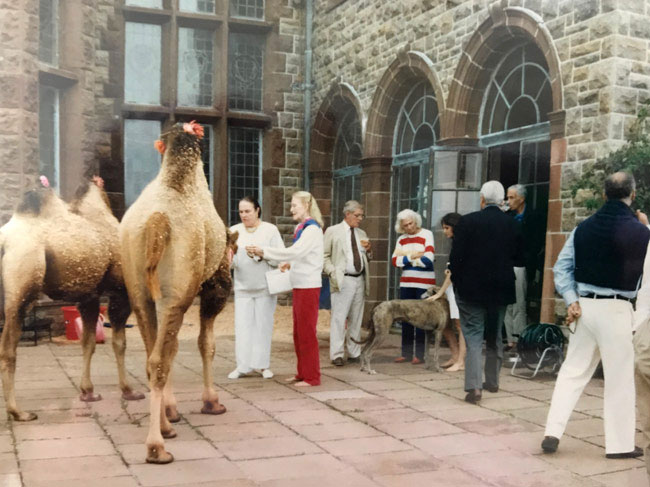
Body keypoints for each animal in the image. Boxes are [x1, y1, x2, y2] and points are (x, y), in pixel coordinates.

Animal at [0, 177, 143, 422]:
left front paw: (88, 392)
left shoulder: (88, 297)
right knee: (8, 348)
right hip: (20, 289)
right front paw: (129, 390)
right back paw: (18, 412)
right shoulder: (120, 291)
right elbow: (119, 343)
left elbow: (88, 342)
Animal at [121, 122, 233, 466]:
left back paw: (166, 428)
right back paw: (157, 448)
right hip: (177, 293)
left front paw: (171, 411)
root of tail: (156, 222)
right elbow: (206, 344)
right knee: (160, 359)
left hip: (139, 293)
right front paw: (212, 402)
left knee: (153, 357)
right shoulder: (214, 286)